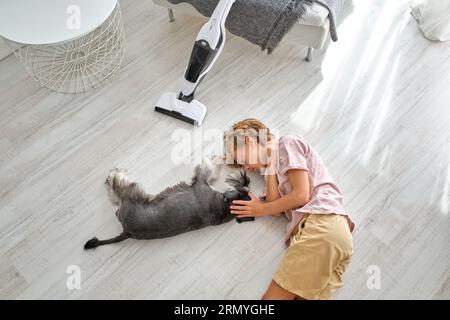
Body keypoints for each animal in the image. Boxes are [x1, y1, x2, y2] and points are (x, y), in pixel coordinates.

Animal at [84, 160, 251, 250]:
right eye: (247, 191)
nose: (245, 178)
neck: (224, 207)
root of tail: (127, 232)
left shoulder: (201, 179)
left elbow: (208, 166)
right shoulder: (203, 181)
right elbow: (211, 170)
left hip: (133, 192)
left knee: (116, 189)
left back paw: (114, 174)